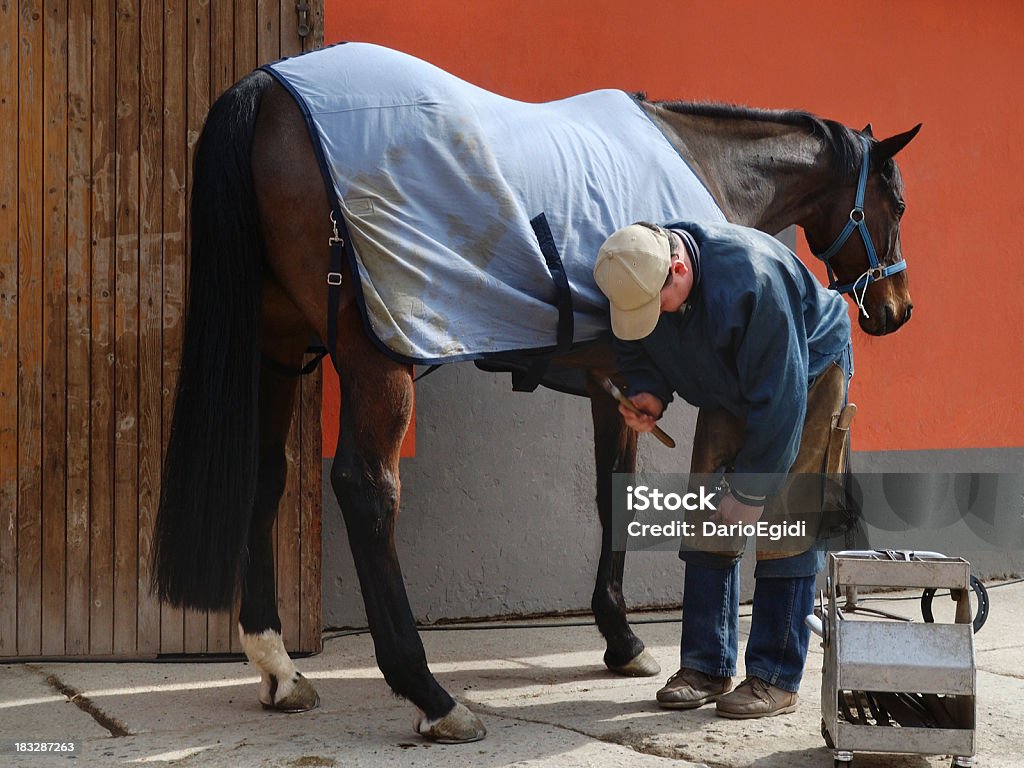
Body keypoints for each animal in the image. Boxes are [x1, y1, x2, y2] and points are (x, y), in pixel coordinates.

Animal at [149, 52, 921, 741]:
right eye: (898, 202)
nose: (896, 308)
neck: (699, 166)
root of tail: (267, 89)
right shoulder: (627, 383)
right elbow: (617, 492)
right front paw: (625, 640)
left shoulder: (616, 387)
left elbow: (610, 489)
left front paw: (620, 638)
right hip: (375, 361)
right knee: (367, 489)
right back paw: (430, 695)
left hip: (277, 349)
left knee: (267, 477)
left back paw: (279, 668)